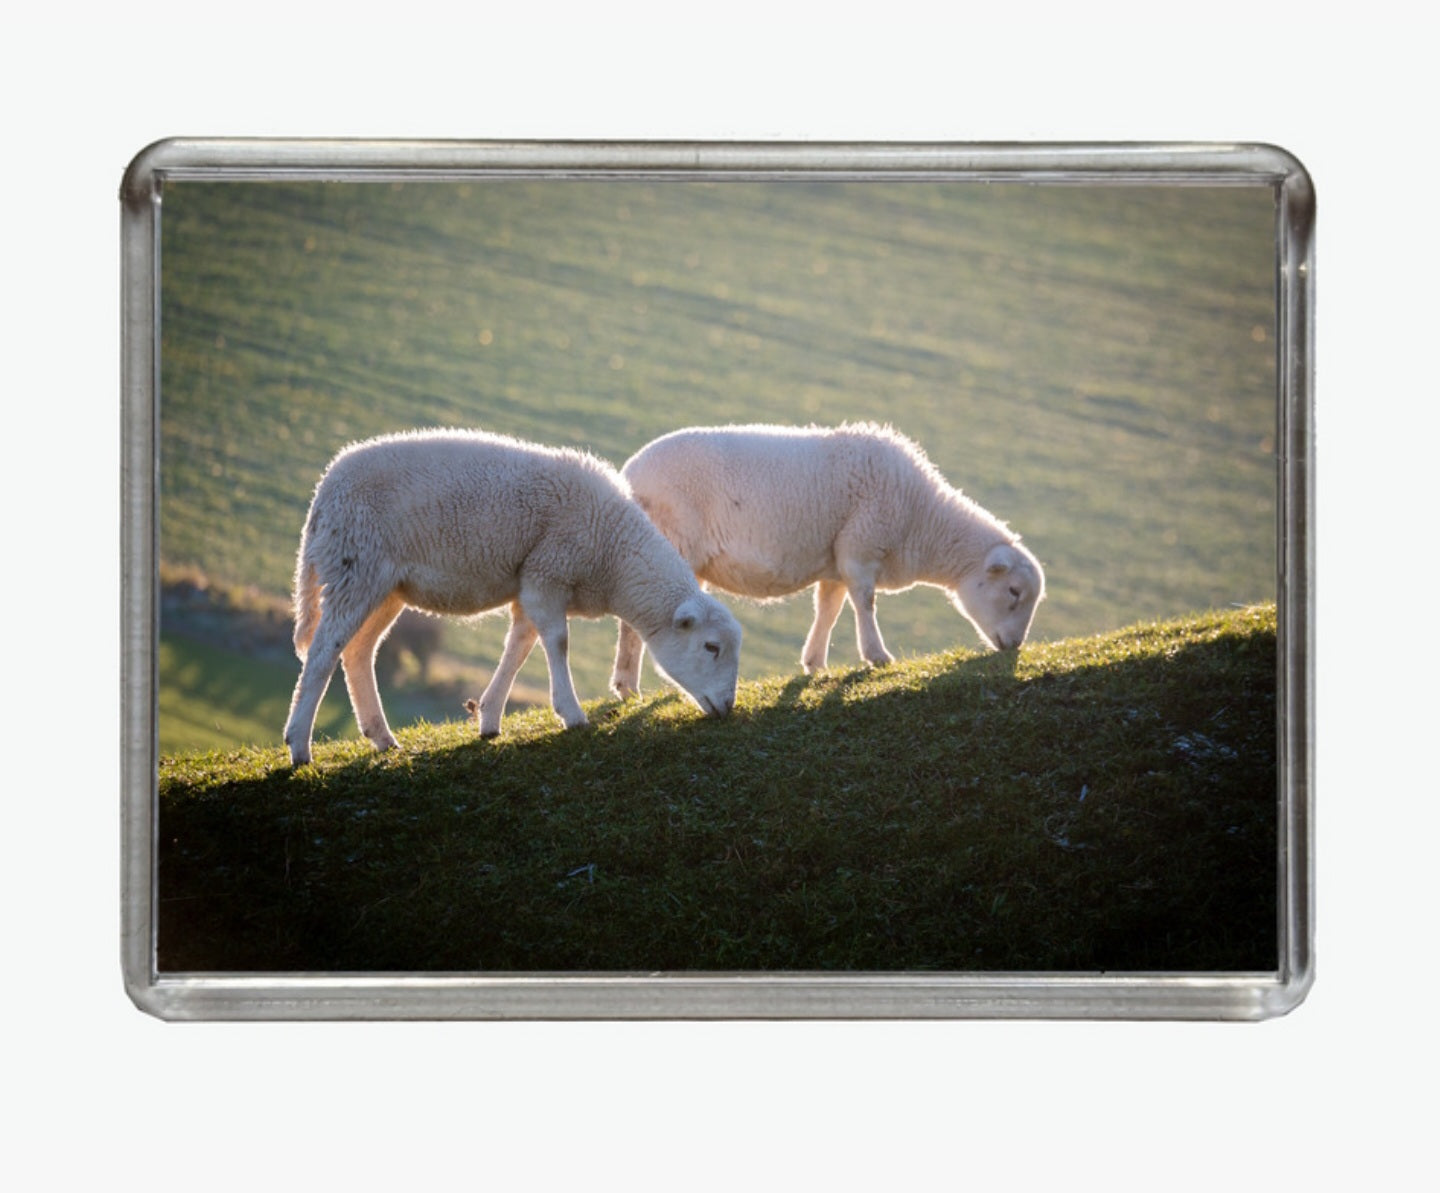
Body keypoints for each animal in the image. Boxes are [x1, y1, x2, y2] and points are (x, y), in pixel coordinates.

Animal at [283, 428, 742, 766]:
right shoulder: (549, 573)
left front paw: (489, 718)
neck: (612, 554)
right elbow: (557, 642)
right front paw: (572, 715)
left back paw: (381, 737)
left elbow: (519, 647)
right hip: (355, 566)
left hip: (385, 586)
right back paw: (300, 746)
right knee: (324, 652)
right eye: (711, 647)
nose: (728, 707)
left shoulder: (532, 583)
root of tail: (324, 490)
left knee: (358, 651)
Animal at [610, 422, 1044, 697]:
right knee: (633, 621)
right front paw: (877, 657)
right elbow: (865, 602)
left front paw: (815, 663)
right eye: (1014, 591)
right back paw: (627, 686)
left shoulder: (835, 562)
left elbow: (829, 610)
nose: (1014, 646)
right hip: (667, 546)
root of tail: (629, 473)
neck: (922, 519)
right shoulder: (860, 547)